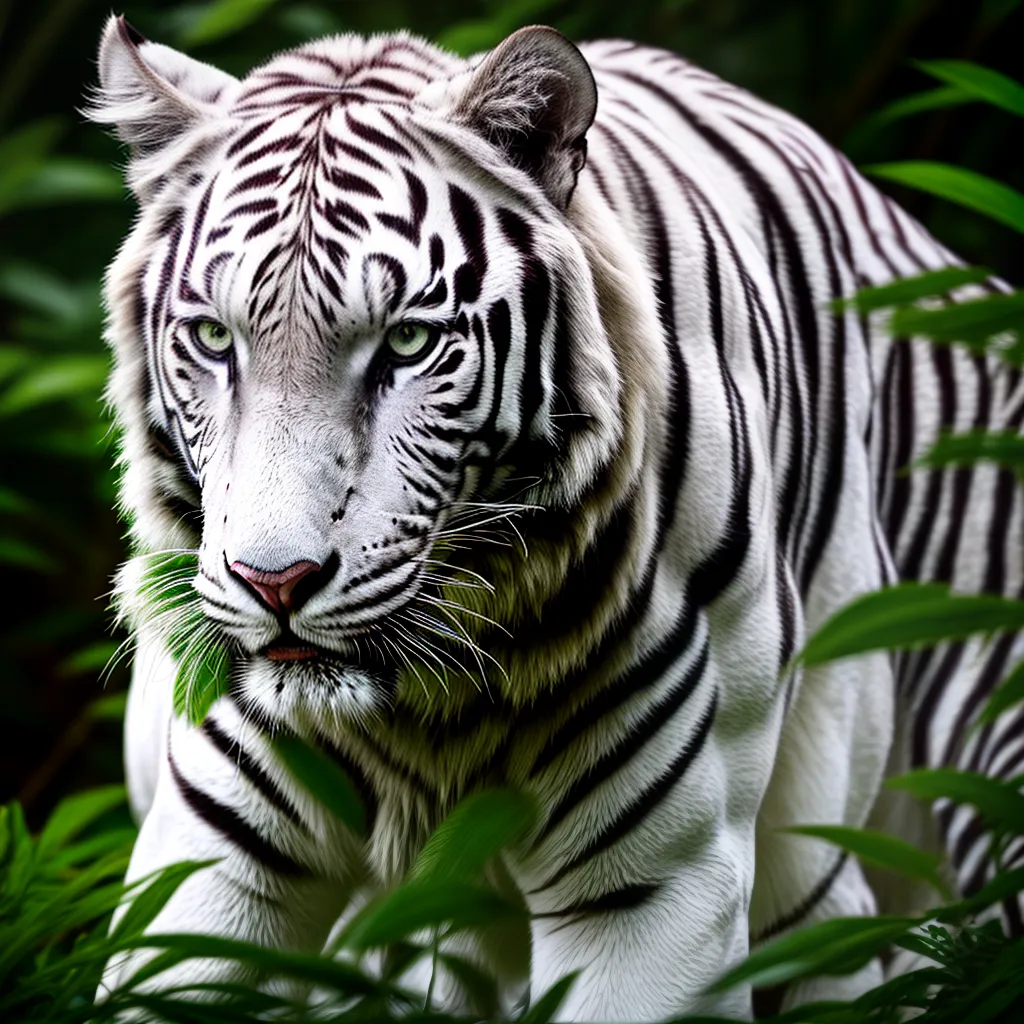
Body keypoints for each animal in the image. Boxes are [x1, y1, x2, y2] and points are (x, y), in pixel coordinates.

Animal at [88, 13, 1024, 1021]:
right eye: (213, 338)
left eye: (407, 343)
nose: (275, 583)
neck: (426, 710)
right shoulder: (214, 865)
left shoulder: (658, 882)